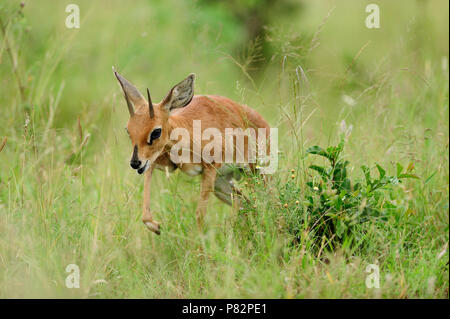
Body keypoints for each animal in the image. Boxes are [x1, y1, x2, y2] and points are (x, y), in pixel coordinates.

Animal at [114, 69, 272, 235]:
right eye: (128, 130)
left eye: (156, 131)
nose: (134, 163)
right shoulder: (159, 163)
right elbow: (145, 213)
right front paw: (157, 227)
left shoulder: (209, 168)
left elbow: (199, 214)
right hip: (221, 183)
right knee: (245, 203)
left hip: (257, 173)